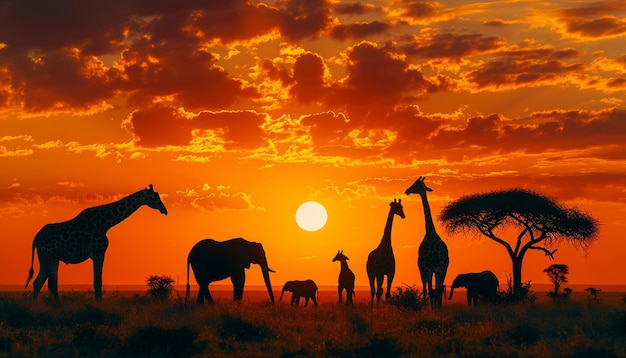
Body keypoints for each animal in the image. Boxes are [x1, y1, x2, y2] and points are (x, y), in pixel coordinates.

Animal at [24, 185, 167, 302]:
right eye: (153, 198)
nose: (164, 210)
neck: (106, 224)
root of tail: (36, 239)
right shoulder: (98, 253)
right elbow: (98, 283)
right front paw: (99, 305)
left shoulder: (97, 254)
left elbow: (97, 282)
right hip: (51, 256)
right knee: (50, 283)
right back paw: (58, 307)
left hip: (46, 257)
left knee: (38, 282)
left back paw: (36, 306)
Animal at [404, 178, 448, 310]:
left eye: (417, 185)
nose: (407, 190)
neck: (431, 235)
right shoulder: (427, 268)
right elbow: (430, 291)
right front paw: (432, 310)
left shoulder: (438, 267)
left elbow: (437, 291)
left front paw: (438, 310)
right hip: (422, 268)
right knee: (425, 288)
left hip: (444, 268)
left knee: (438, 288)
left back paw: (438, 306)